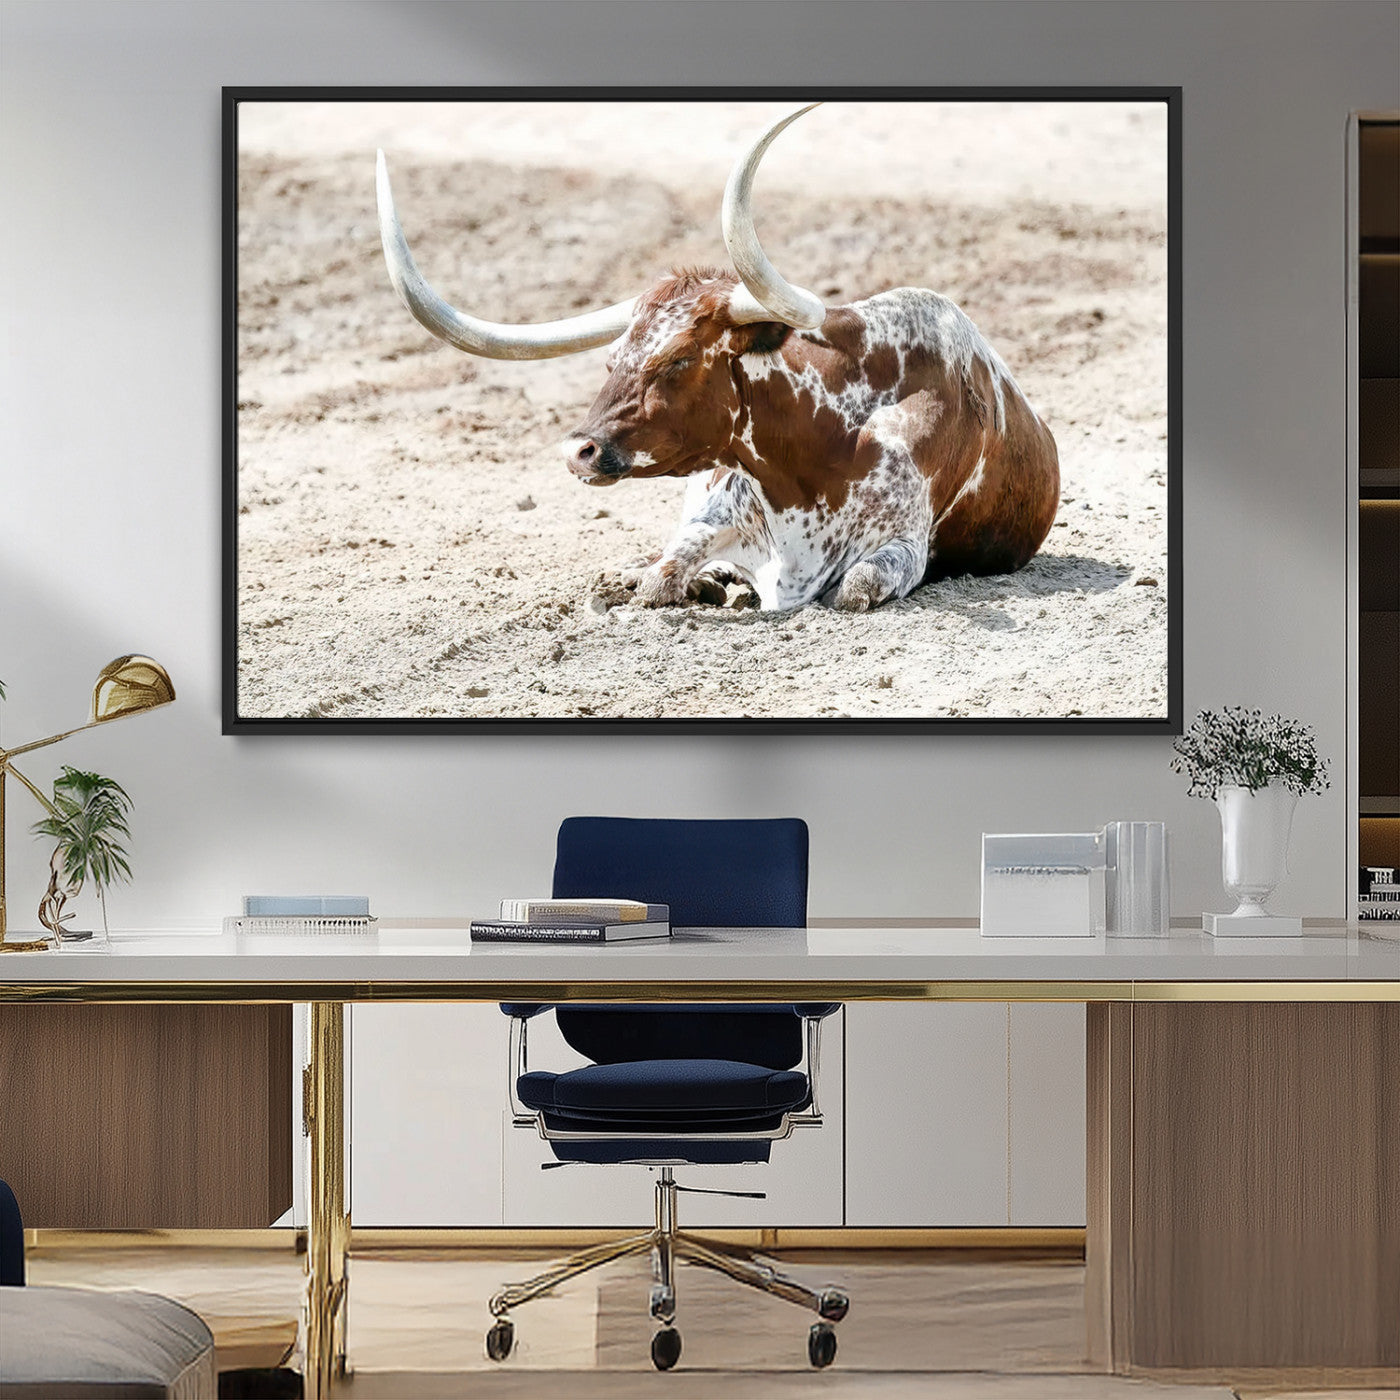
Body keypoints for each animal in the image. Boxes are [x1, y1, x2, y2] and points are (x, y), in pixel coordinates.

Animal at [376, 105, 1059, 613]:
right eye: (612, 359)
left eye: (679, 359)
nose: (579, 451)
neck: (821, 450)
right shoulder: (713, 512)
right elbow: (661, 574)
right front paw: (682, 581)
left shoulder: (903, 547)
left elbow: (853, 588)